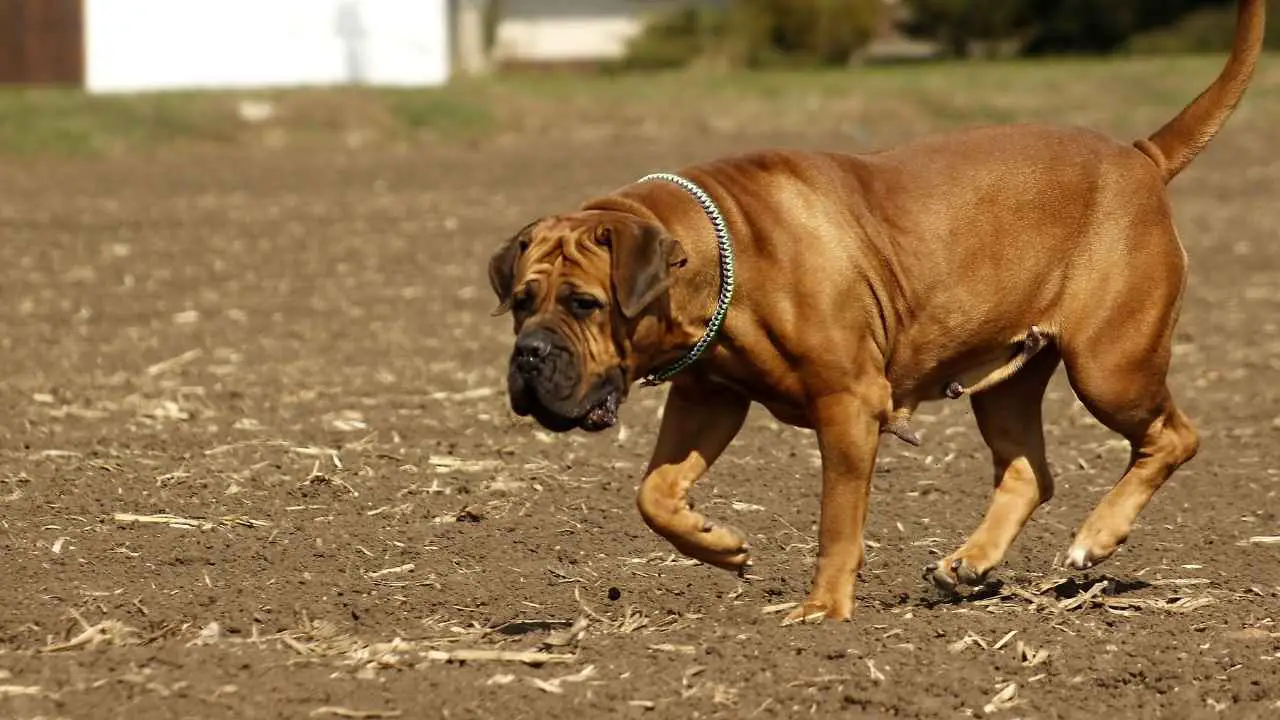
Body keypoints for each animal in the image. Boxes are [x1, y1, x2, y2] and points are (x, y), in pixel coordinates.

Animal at [483, 0, 1264, 622]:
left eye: (584, 303)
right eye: (521, 302)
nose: (528, 355)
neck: (718, 256)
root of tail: (1140, 157)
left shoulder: (847, 404)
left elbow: (837, 521)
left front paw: (823, 610)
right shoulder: (710, 397)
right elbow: (656, 492)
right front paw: (721, 545)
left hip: (1110, 366)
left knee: (1174, 437)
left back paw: (1095, 538)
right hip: (1011, 380)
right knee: (1028, 471)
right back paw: (969, 561)